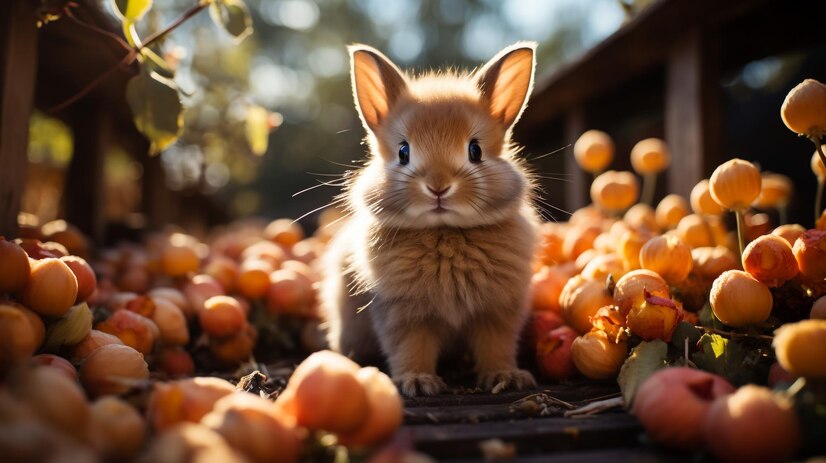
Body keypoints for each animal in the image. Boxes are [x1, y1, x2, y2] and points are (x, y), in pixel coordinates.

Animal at [322, 43, 540, 396]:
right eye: (403, 152)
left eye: (475, 150)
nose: (438, 187)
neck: (444, 233)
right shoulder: (402, 314)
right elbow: (411, 348)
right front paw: (418, 382)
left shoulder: (497, 312)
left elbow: (496, 346)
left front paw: (505, 377)